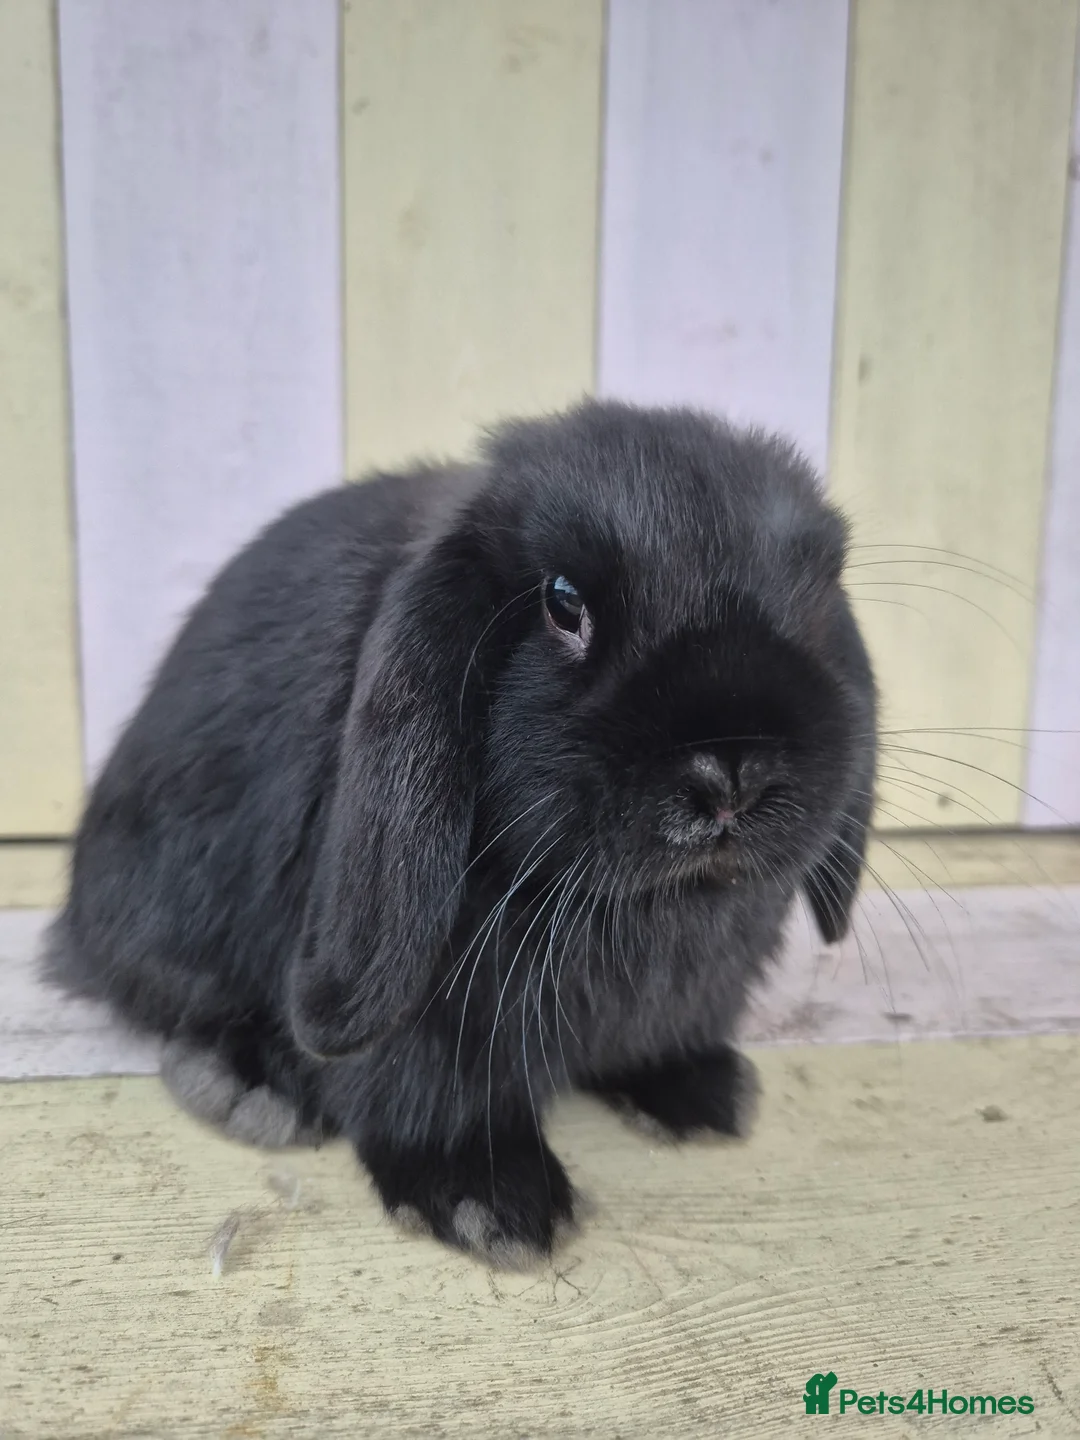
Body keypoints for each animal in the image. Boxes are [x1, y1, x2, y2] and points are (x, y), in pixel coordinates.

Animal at [45, 399, 877, 1268]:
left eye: (816, 600)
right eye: (563, 602)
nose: (732, 772)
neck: (642, 912)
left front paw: (695, 1090)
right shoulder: (426, 994)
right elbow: (424, 1086)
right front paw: (491, 1200)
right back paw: (247, 1084)